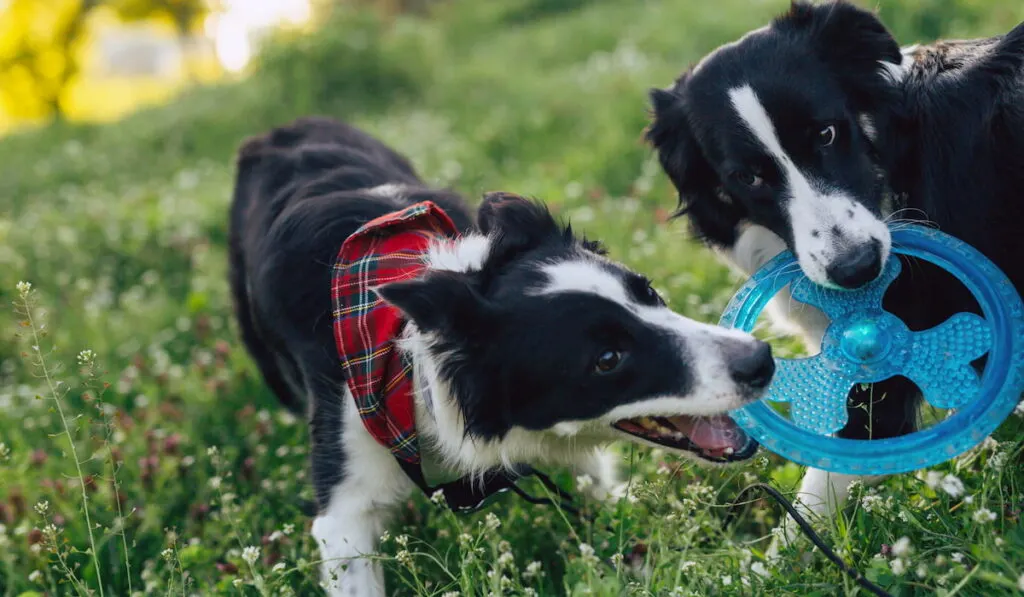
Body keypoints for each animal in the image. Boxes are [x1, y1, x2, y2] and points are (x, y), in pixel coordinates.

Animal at [230, 117, 774, 597]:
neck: (411, 365)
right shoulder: (346, 503)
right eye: (607, 359)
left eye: (650, 293)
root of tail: (278, 131)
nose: (762, 360)